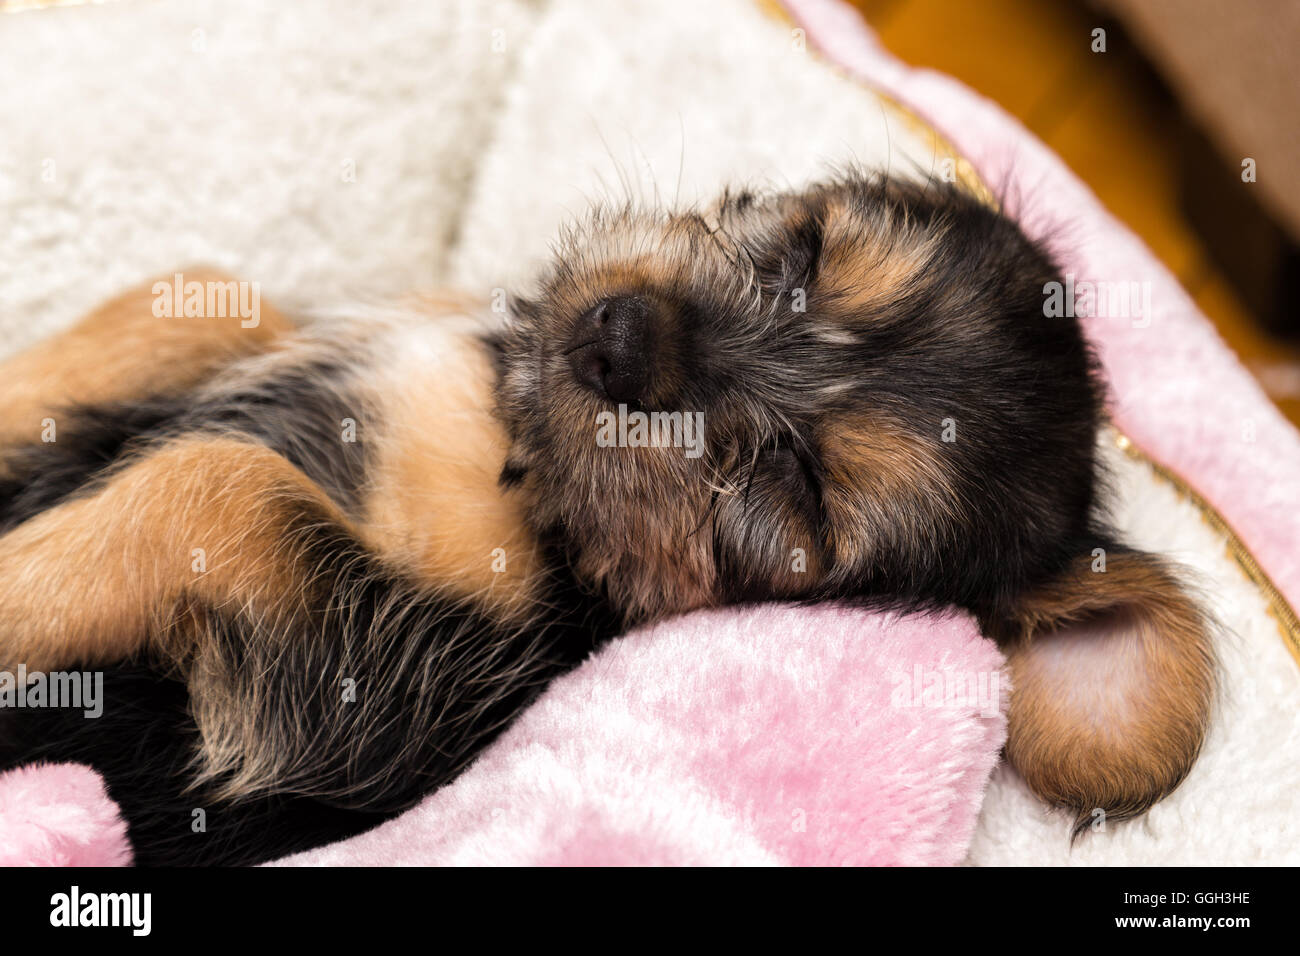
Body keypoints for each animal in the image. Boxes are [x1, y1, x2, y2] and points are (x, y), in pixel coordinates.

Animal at [0, 174, 1206, 868]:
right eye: (805, 251)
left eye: (799, 493)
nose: (619, 337)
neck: (517, 459)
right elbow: (204, 300)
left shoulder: (360, 701)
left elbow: (224, 484)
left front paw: (13, 589)